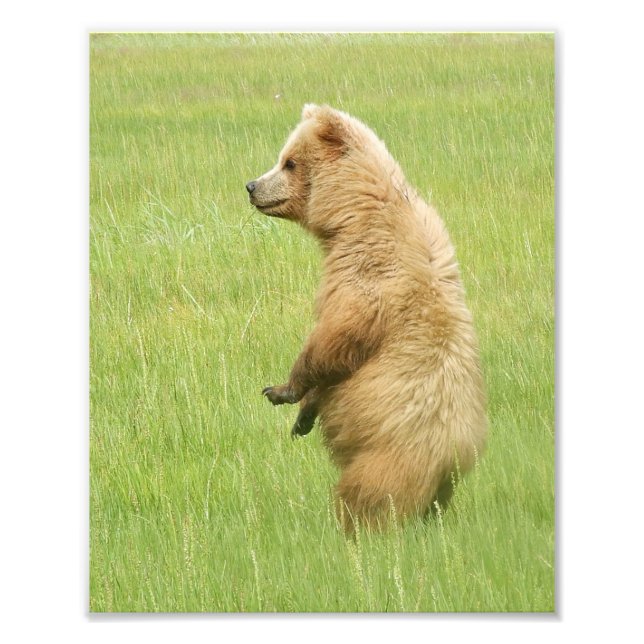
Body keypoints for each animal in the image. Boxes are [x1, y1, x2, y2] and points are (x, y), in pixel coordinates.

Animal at [246, 104, 487, 531]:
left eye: (289, 162)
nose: (252, 186)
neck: (353, 213)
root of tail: (452, 456)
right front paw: (303, 416)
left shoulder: (370, 274)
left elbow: (335, 336)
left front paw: (281, 390)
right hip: (440, 484)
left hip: (386, 459)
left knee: (363, 498)